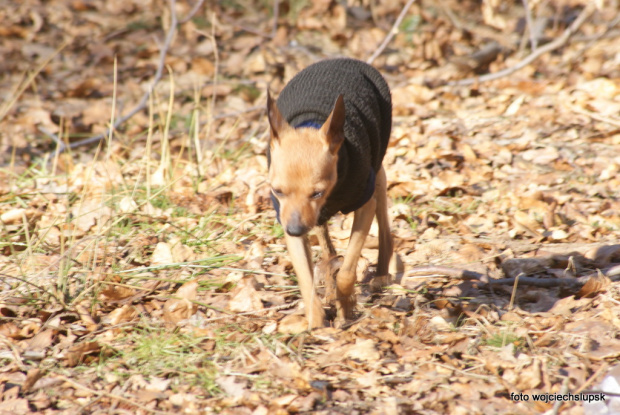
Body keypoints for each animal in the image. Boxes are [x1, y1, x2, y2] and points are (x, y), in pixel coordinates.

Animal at [266, 59, 392, 332]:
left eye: (318, 192)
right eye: (277, 191)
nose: (294, 229)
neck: (310, 123)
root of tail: (344, 59)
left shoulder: (364, 207)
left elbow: (347, 273)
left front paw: (346, 309)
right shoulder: (289, 221)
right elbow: (306, 279)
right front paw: (316, 323)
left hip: (377, 174)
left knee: (385, 229)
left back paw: (380, 274)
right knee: (327, 249)